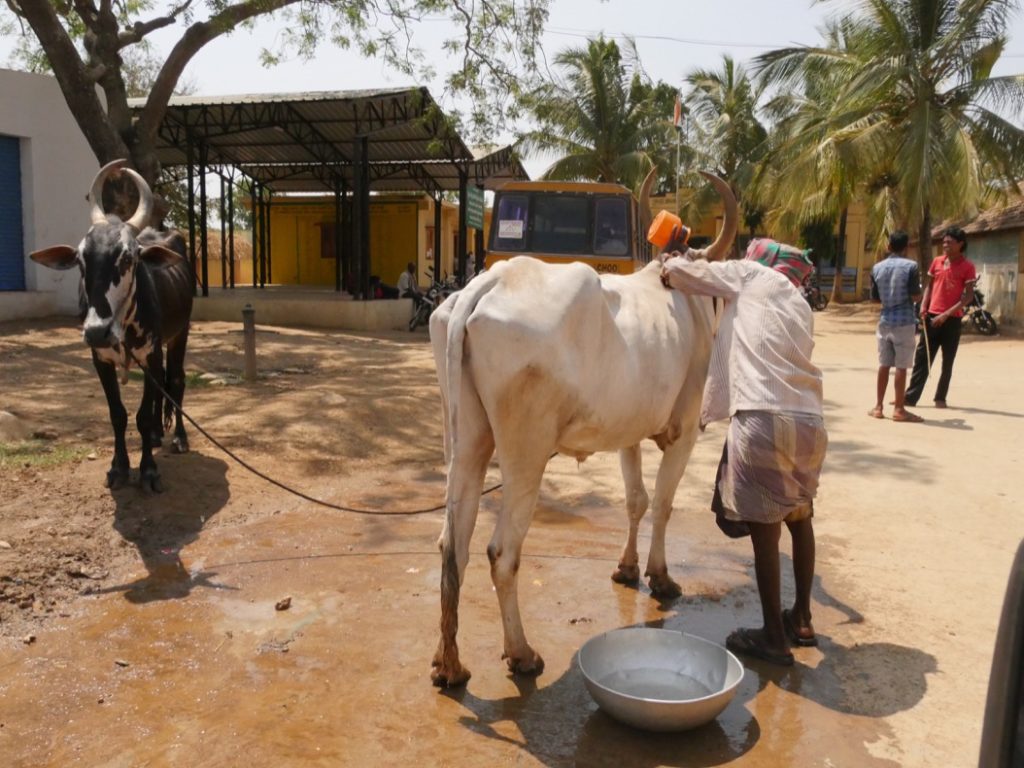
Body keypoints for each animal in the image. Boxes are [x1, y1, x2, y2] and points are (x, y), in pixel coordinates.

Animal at [30, 159, 193, 493]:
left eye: (128, 258)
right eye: (81, 260)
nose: (96, 331)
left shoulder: (151, 353)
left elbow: (142, 414)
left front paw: (148, 471)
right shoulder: (100, 359)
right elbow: (117, 414)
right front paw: (119, 467)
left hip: (179, 334)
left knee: (176, 381)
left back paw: (179, 438)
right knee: (162, 388)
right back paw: (156, 436)